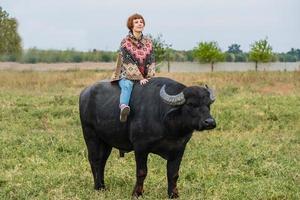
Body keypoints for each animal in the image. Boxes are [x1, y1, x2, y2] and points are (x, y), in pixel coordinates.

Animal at [78, 77, 217, 198]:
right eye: (191, 104)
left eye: (208, 104)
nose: (210, 122)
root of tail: (84, 93)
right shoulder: (140, 147)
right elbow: (141, 172)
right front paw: (137, 193)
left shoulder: (179, 149)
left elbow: (173, 174)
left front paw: (173, 194)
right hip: (90, 135)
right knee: (95, 160)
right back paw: (98, 187)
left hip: (106, 141)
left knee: (102, 161)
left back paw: (102, 186)